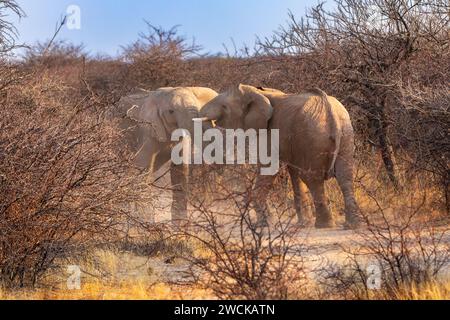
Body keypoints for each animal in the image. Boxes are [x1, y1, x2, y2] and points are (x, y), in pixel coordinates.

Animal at [199, 84, 360, 229]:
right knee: (345, 177)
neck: (257, 91)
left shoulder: (271, 132)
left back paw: (324, 226)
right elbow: (293, 173)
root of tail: (329, 109)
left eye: (224, 107)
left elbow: (270, 169)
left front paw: (264, 225)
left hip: (313, 136)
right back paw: (351, 225)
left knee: (312, 179)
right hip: (345, 133)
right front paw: (301, 224)